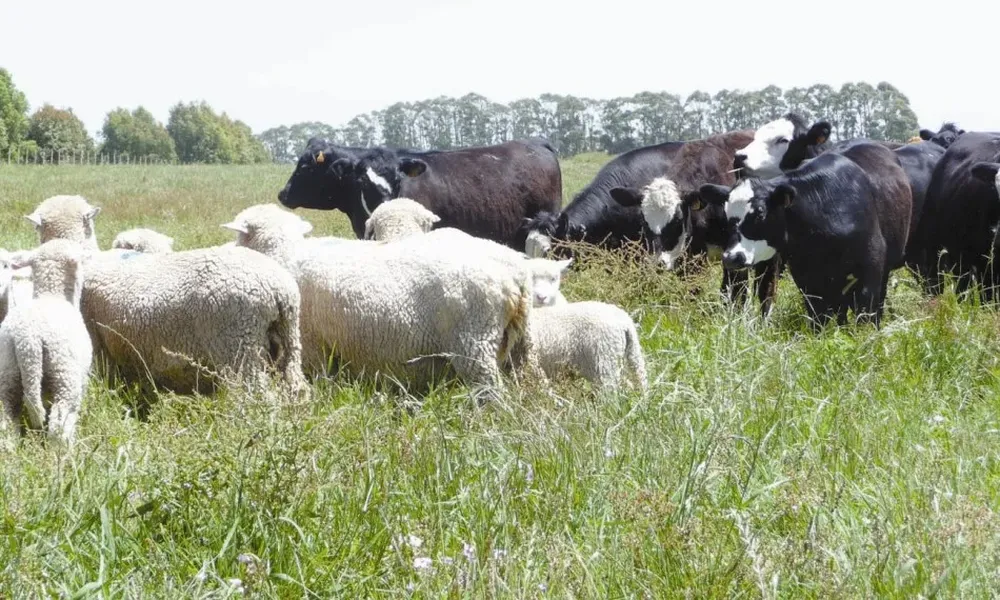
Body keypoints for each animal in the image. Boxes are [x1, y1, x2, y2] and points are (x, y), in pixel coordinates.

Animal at [699, 141, 913, 327]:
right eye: (727, 214)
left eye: (760, 212)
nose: (731, 257)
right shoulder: (808, 280)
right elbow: (819, 319)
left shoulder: (870, 272)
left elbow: (866, 316)